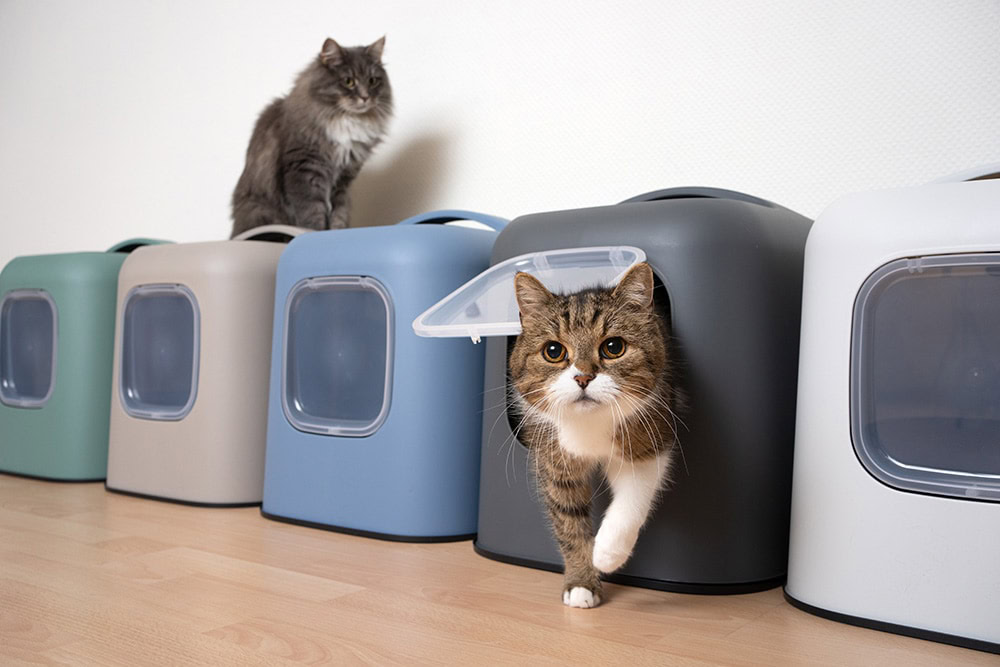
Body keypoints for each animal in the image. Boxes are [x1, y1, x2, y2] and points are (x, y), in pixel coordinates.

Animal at [232, 37, 392, 237]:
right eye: (349, 81)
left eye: (372, 81)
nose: (365, 97)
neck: (347, 120)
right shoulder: (305, 170)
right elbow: (312, 211)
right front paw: (314, 232)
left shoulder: (343, 180)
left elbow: (338, 213)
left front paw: (337, 233)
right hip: (261, 210)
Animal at [508, 264, 680, 608]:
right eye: (553, 351)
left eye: (613, 347)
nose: (583, 377)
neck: (589, 424)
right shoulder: (555, 462)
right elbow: (569, 522)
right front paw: (581, 581)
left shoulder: (649, 440)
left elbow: (632, 499)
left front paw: (606, 553)